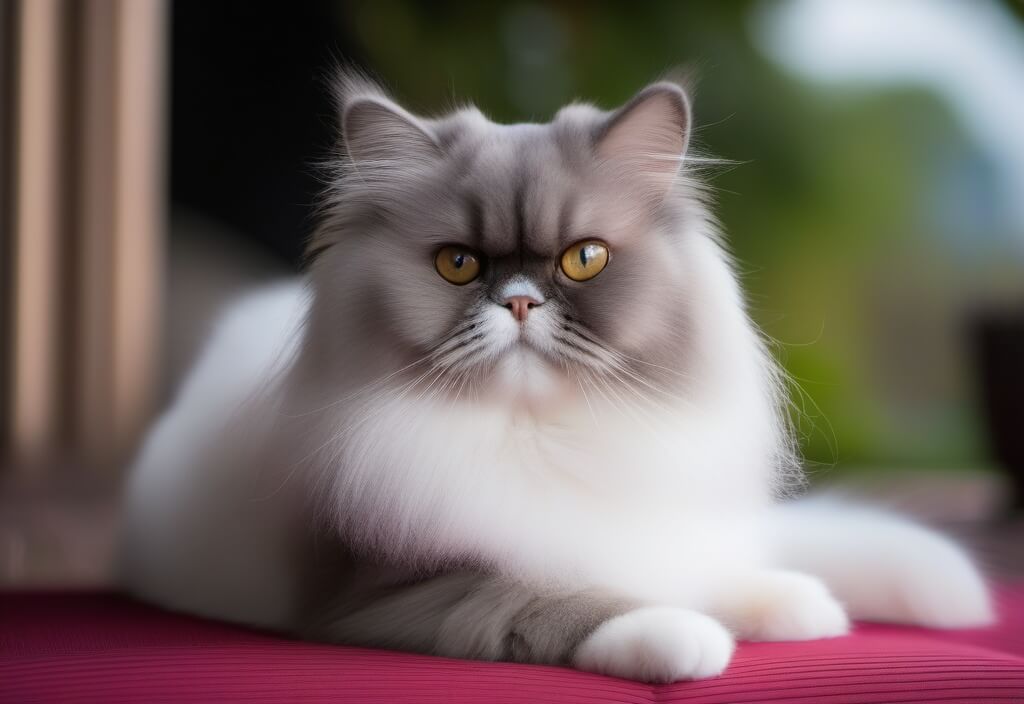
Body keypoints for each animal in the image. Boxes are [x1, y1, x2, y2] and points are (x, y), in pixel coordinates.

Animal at [119, 71, 991, 683]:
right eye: (458, 263)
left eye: (584, 258)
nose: (519, 301)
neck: (545, 435)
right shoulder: (388, 588)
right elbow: (561, 597)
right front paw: (680, 637)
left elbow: (699, 566)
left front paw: (792, 605)